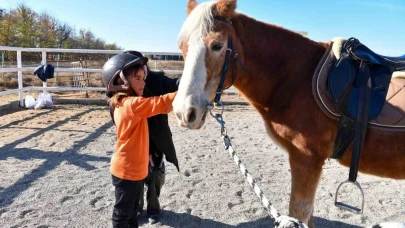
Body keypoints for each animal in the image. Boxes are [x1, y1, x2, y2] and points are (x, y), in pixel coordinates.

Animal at [172, 0, 404, 228]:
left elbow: (299, 211)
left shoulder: (306, 159)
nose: (184, 112)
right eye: (181, 46)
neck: (297, 79)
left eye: (217, 45)